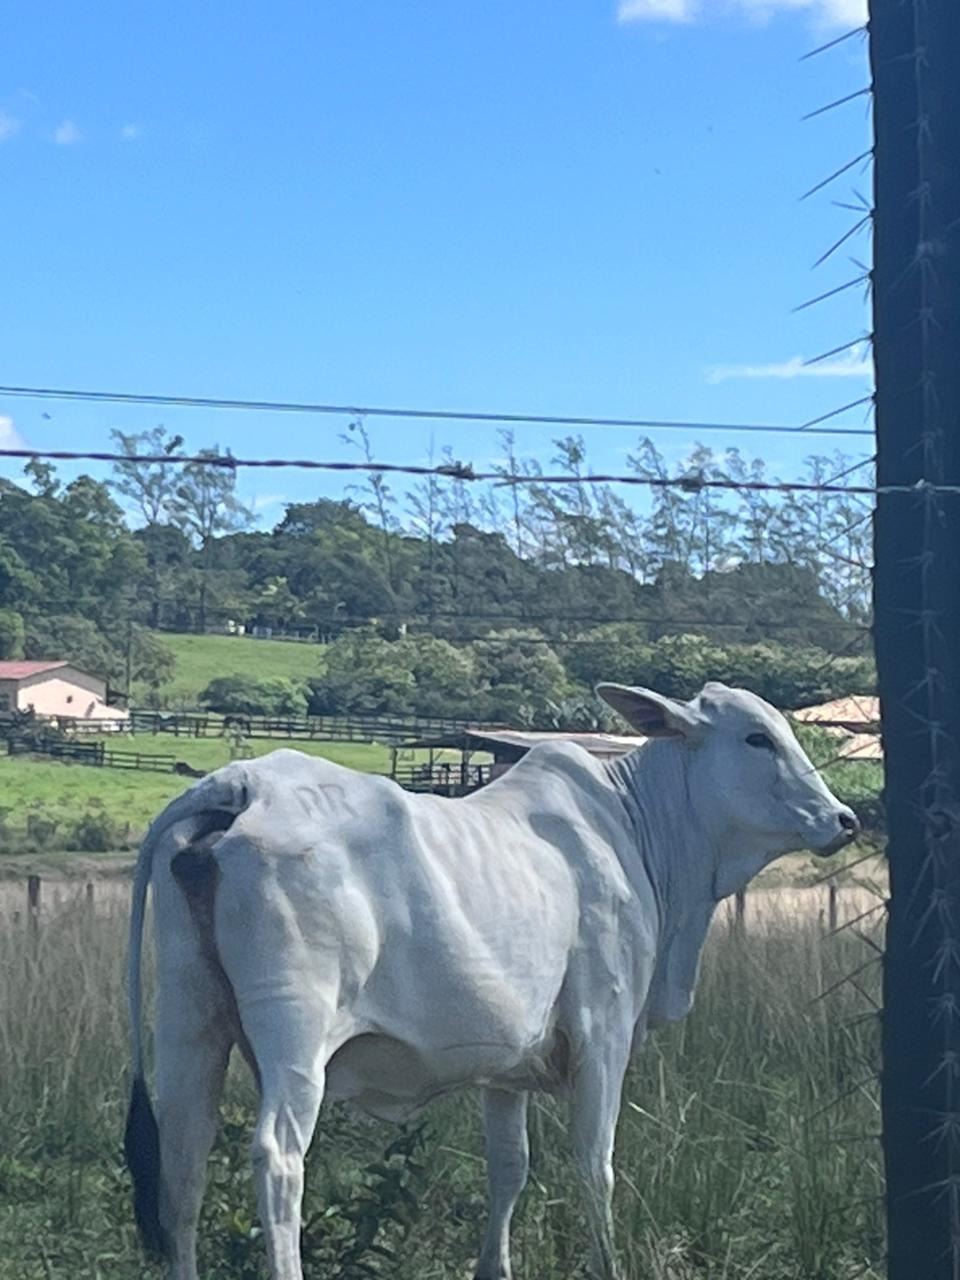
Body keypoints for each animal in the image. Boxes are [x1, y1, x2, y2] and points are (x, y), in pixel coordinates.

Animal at [126, 686, 855, 1280]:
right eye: (757, 738)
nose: (843, 819)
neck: (639, 825)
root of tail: (240, 784)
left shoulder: (507, 1067)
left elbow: (510, 1168)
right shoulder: (604, 1032)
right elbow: (595, 1164)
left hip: (190, 1022)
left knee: (183, 1159)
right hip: (295, 1036)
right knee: (278, 1160)